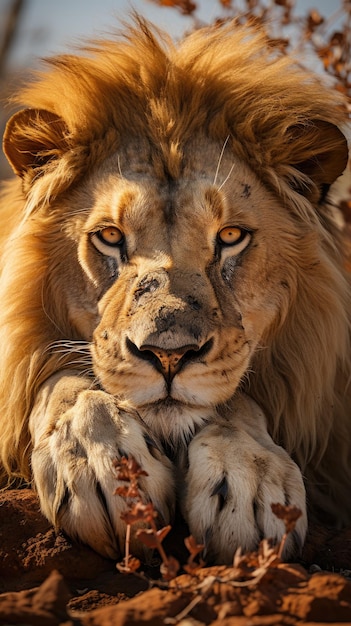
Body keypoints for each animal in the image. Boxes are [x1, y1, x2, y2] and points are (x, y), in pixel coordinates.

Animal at [0, 15, 351, 560]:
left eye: (230, 236)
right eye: (110, 237)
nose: (168, 356)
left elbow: (235, 403)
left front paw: (250, 482)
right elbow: (65, 382)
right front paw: (100, 464)